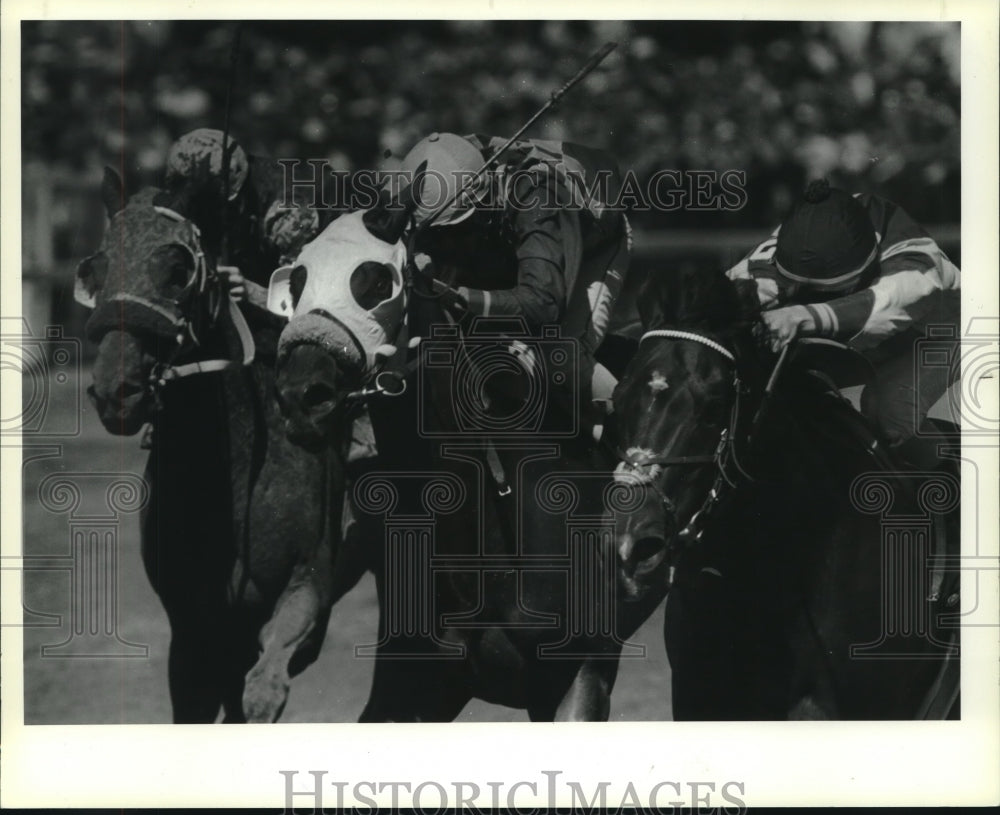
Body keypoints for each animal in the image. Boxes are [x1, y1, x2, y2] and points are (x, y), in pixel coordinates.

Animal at [75, 171, 344, 720]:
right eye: (97, 268)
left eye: (178, 270)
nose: (117, 391)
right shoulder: (193, 625)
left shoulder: (307, 588)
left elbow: (263, 687)